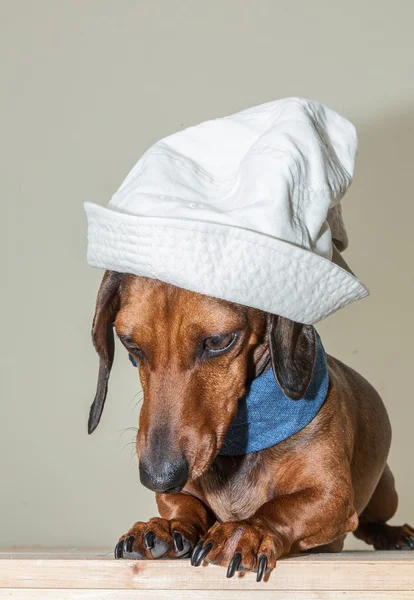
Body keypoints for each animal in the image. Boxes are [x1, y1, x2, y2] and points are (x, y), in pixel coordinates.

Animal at [89, 270, 412, 580]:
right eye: (131, 344)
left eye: (218, 341)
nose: (158, 478)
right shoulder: (179, 490)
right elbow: (184, 505)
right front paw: (168, 526)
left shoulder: (333, 495)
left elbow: (281, 508)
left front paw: (247, 530)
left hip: (386, 493)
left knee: (370, 521)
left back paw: (395, 535)